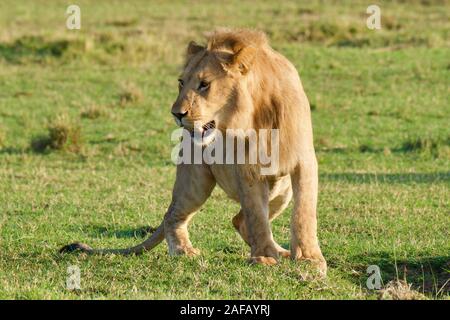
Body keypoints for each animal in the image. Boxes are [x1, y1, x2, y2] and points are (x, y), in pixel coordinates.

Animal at [60, 28, 326, 276]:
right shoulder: (247, 170)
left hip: (281, 190)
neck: (255, 117)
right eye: (181, 82)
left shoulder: (304, 162)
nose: (177, 114)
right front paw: (263, 258)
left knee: (239, 220)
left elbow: (303, 213)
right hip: (195, 183)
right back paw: (183, 250)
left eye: (204, 84)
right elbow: (257, 217)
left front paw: (308, 259)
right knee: (174, 215)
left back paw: (281, 251)